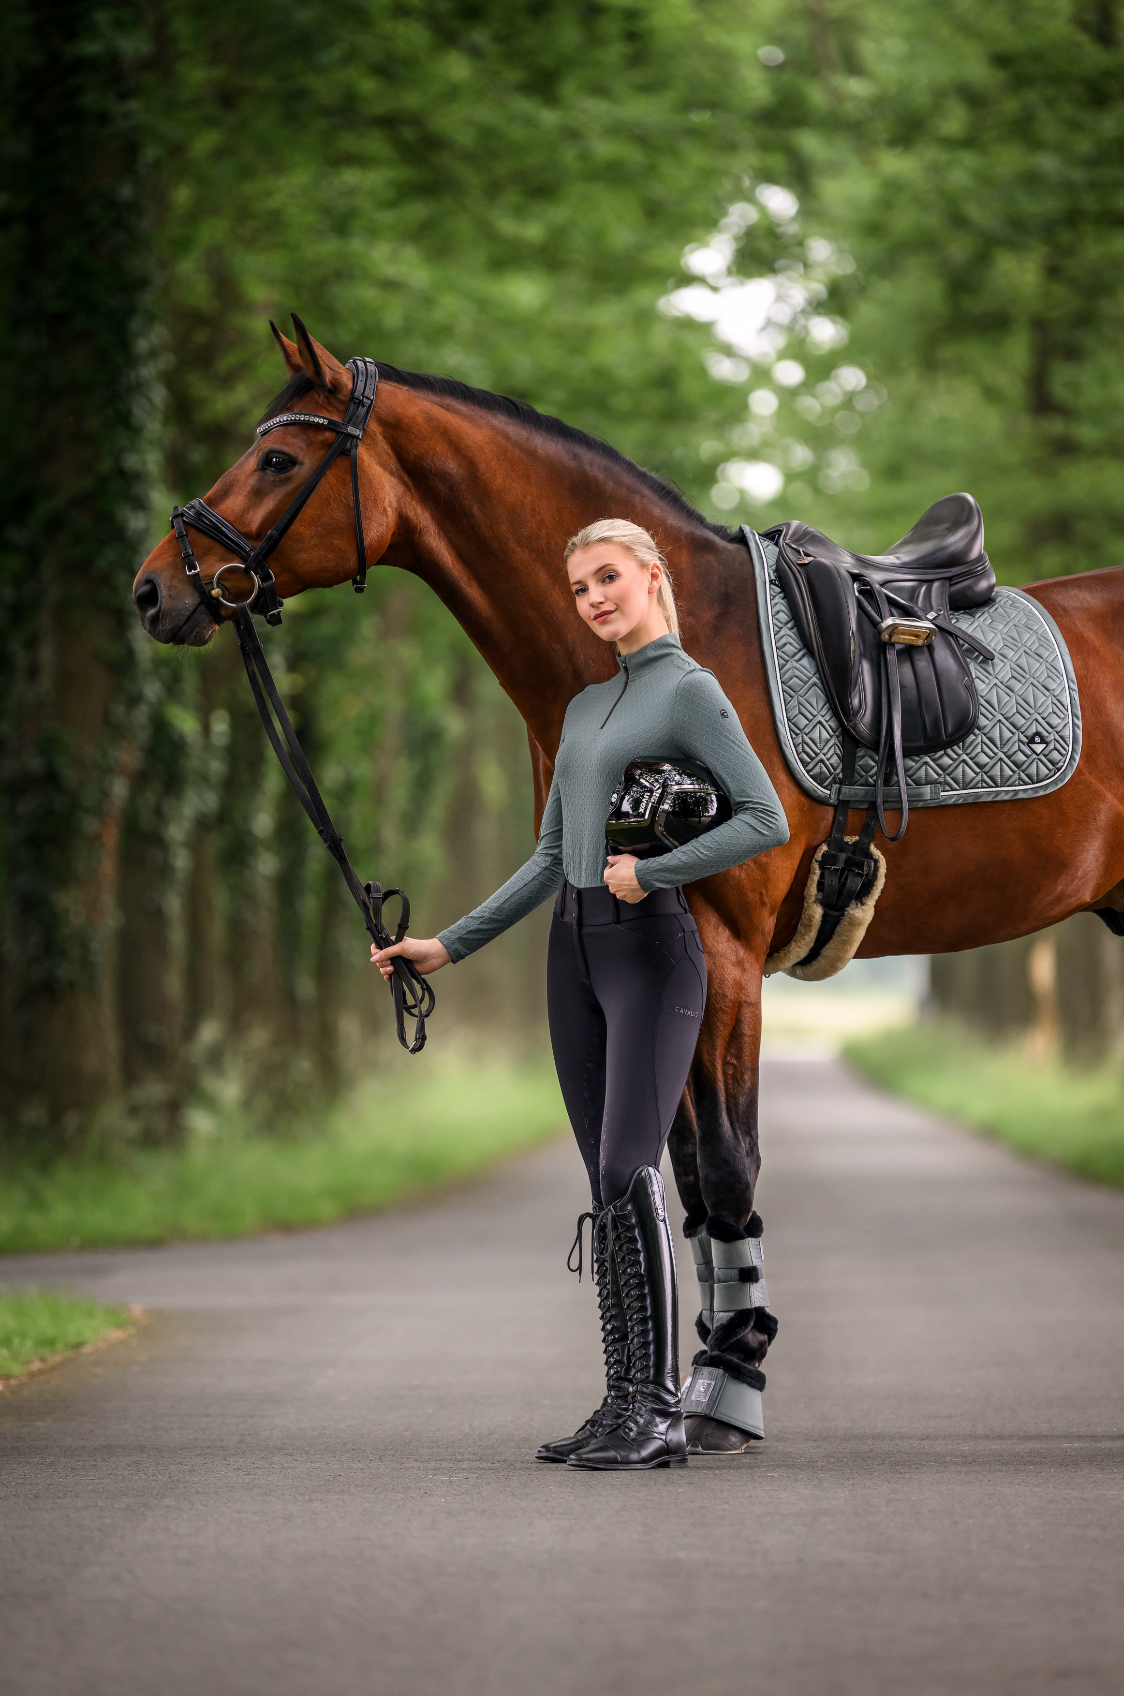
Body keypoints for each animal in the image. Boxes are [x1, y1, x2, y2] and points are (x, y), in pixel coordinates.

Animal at [133, 321, 1124, 1437]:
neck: (684, 639)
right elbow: (680, 1170)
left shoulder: (723, 957)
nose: (154, 589)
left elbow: (727, 1164)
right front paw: (698, 1377)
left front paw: (728, 1387)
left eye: (276, 458)